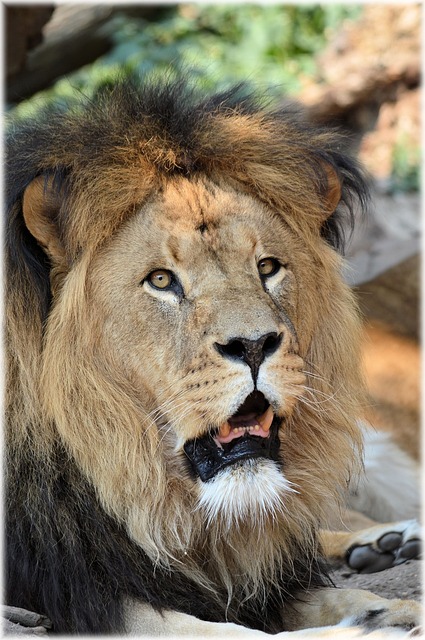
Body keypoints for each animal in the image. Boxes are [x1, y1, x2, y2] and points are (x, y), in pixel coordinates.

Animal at [4, 79, 420, 636]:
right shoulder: (86, 593)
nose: (253, 345)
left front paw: (392, 611)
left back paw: (386, 541)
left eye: (267, 267)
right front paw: (367, 626)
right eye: (161, 280)